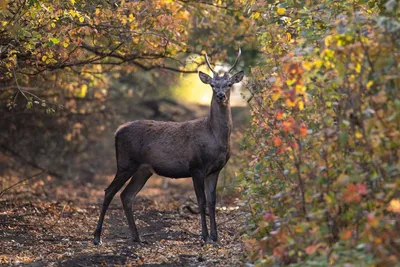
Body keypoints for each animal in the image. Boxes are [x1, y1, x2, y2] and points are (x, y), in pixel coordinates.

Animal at [94, 48, 244, 247]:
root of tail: (117, 131)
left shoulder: (215, 170)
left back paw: (137, 236)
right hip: (126, 162)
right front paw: (204, 237)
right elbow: (201, 201)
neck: (215, 137)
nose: (221, 95)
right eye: (212, 85)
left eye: (228, 84)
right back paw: (97, 237)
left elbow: (213, 202)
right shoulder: (196, 166)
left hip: (144, 169)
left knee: (127, 195)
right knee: (109, 191)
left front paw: (215, 237)